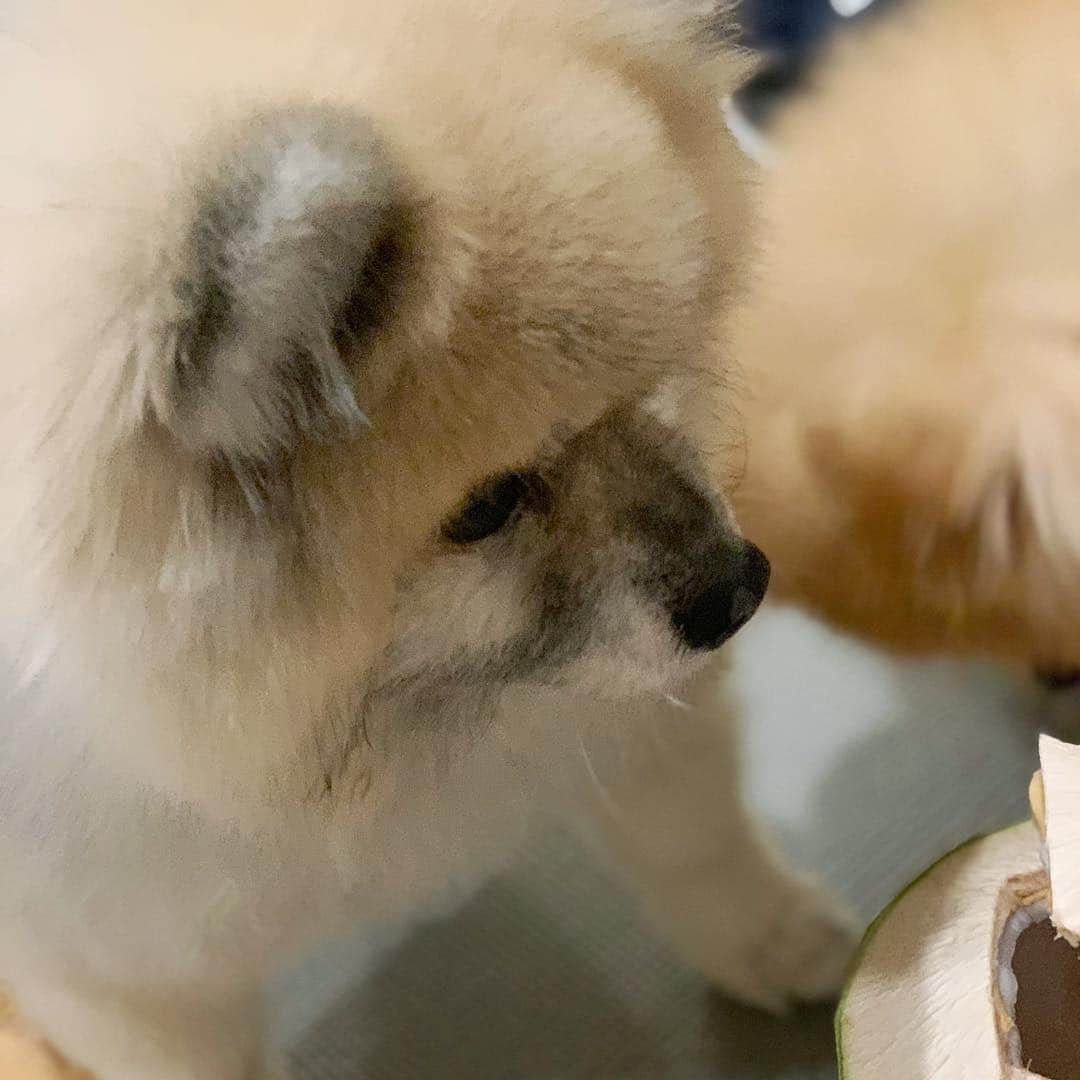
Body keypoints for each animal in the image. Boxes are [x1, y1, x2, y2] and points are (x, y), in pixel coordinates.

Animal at [0, 2, 851, 1080]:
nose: (739, 586)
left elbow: (692, 835)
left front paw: (770, 939)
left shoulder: (619, 708)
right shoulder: (122, 972)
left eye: (649, 382)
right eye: (487, 507)